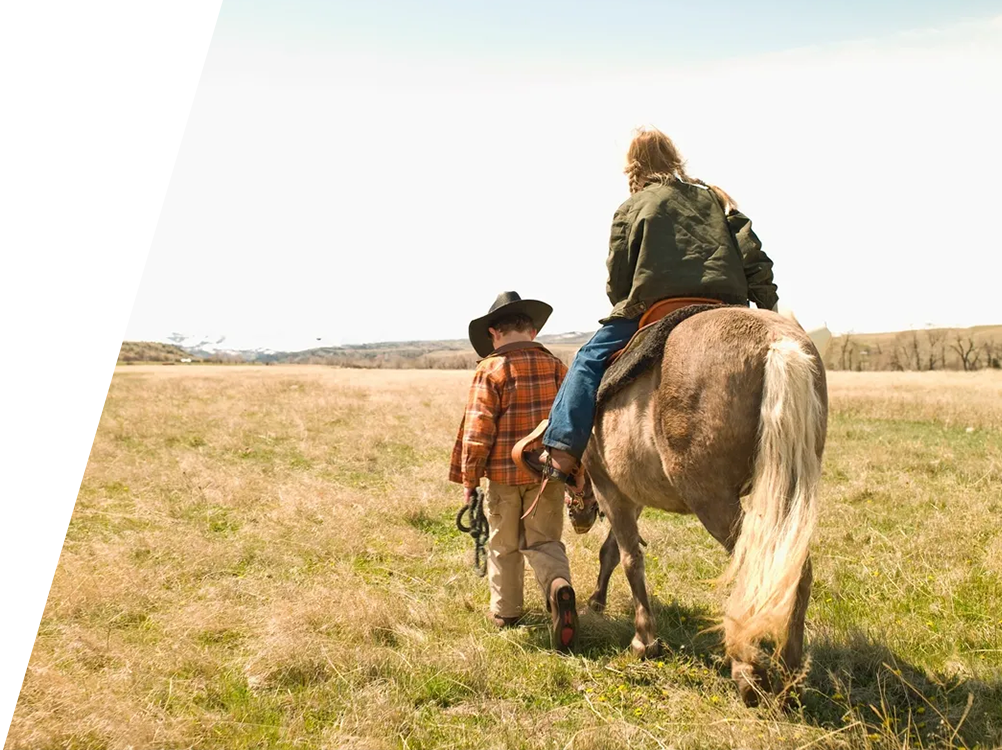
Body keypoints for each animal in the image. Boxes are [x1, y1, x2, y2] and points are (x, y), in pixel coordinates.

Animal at [577, 306, 825, 704]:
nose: (579, 516)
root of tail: (776, 342)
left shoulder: (610, 489)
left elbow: (629, 558)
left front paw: (643, 640)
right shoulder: (632, 496)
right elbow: (613, 552)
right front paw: (598, 601)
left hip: (713, 500)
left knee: (755, 566)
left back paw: (748, 673)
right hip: (786, 492)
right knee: (792, 571)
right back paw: (789, 679)